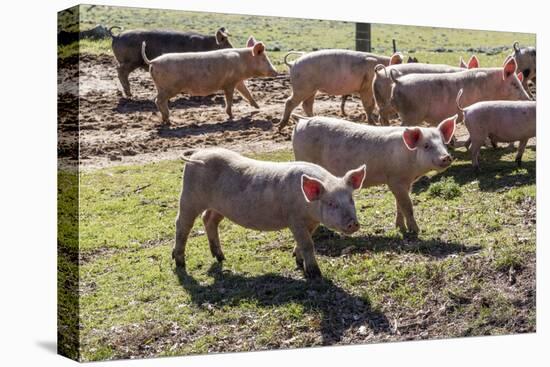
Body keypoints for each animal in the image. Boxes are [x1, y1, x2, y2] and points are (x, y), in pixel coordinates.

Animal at [143, 36, 278, 124]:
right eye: (264, 59)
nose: (276, 72)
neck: (243, 62)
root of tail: (153, 61)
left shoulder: (238, 81)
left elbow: (247, 92)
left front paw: (258, 107)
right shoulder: (229, 83)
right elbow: (229, 99)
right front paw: (231, 116)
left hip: (160, 87)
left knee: (158, 100)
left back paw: (166, 120)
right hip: (169, 87)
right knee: (158, 100)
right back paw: (168, 120)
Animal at [175, 147, 368, 278]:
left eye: (351, 199)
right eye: (331, 203)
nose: (353, 223)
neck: (309, 207)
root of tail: (196, 155)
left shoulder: (312, 222)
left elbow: (304, 242)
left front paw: (297, 260)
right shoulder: (294, 219)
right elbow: (307, 243)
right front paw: (315, 274)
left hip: (218, 206)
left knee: (209, 219)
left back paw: (221, 257)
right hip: (189, 197)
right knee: (182, 224)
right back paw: (180, 263)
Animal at [294, 115, 458, 234]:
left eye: (443, 143)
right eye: (426, 146)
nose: (446, 157)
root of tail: (302, 121)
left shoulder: (406, 182)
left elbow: (399, 205)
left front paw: (400, 228)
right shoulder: (395, 180)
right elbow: (407, 206)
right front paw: (417, 231)